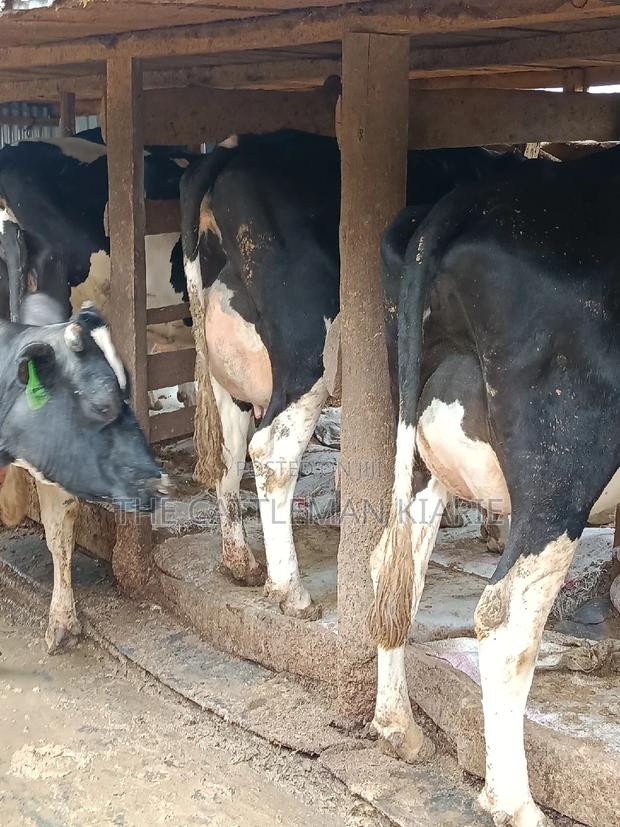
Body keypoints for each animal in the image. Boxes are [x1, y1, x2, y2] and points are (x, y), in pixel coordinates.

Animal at [180, 130, 526, 619]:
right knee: (271, 451)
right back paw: (290, 591)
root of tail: (234, 150)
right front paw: (494, 526)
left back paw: (239, 562)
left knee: (228, 453)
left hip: (226, 373)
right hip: (306, 351)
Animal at [369, 146, 620, 827]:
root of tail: (466, 200)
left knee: (394, 564)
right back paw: (514, 802)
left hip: (421, 446)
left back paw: (398, 726)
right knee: (505, 618)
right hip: (564, 465)